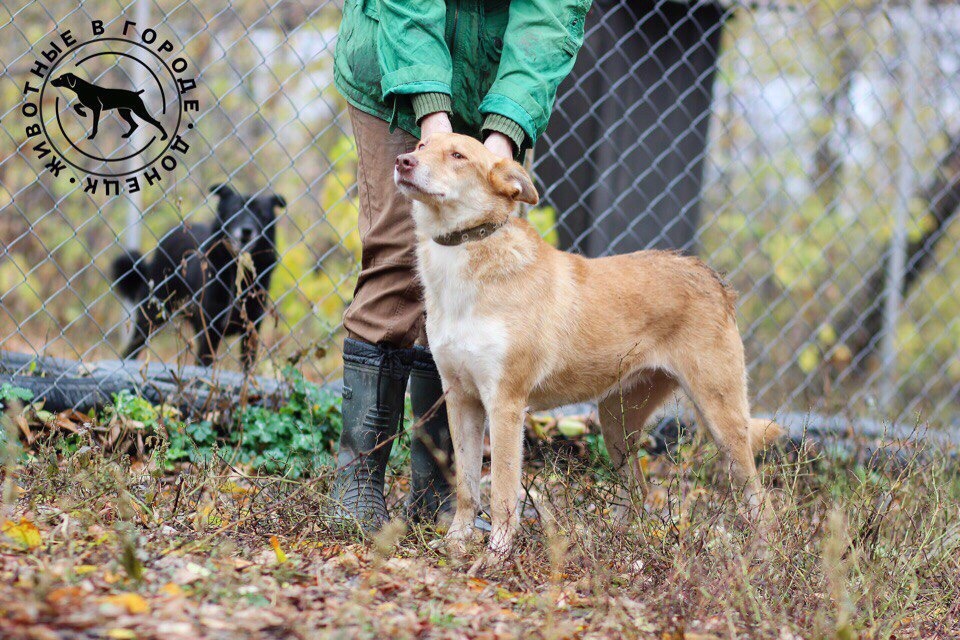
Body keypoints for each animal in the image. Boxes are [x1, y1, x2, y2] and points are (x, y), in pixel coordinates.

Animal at [112, 182, 284, 368]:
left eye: (262, 215)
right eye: (234, 210)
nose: (247, 231)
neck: (237, 269)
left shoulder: (251, 328)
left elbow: (247, 367)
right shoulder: (210, 330)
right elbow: (204, 364)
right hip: (151, 317)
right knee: (131, 349)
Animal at [394, 132, 784, 568]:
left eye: (458, 155)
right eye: (422, 145)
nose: (402, 161)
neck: (467, 257)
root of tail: (712, 276)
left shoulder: (506, 405)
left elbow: (502, 496)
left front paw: (495, 557)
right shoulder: (460, 398)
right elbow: (465, 487)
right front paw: (456, 544)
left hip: (721, 422)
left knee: (760, 501)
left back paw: (762, 562)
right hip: (615, 421)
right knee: (639, 490)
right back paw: (617, 548)